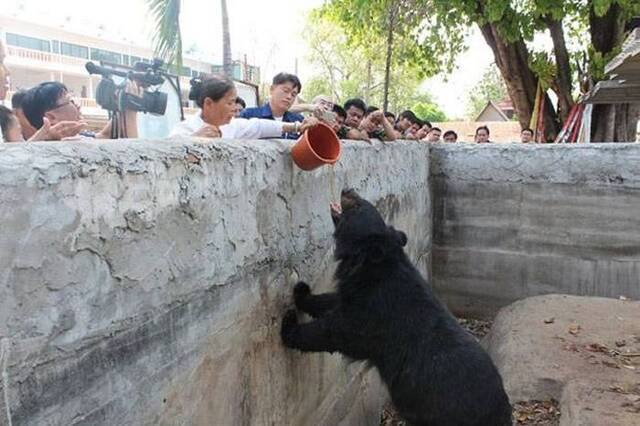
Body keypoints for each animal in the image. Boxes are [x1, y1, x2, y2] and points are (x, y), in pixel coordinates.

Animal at [280, 190, 510, 426]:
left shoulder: (377, 312)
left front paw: (288, 325)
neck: (368, 264)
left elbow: (339, 331)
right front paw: (301, 292)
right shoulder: (359, 293)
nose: (348, 190)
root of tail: (502, 412)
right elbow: (334, 301)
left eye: (359, 206)